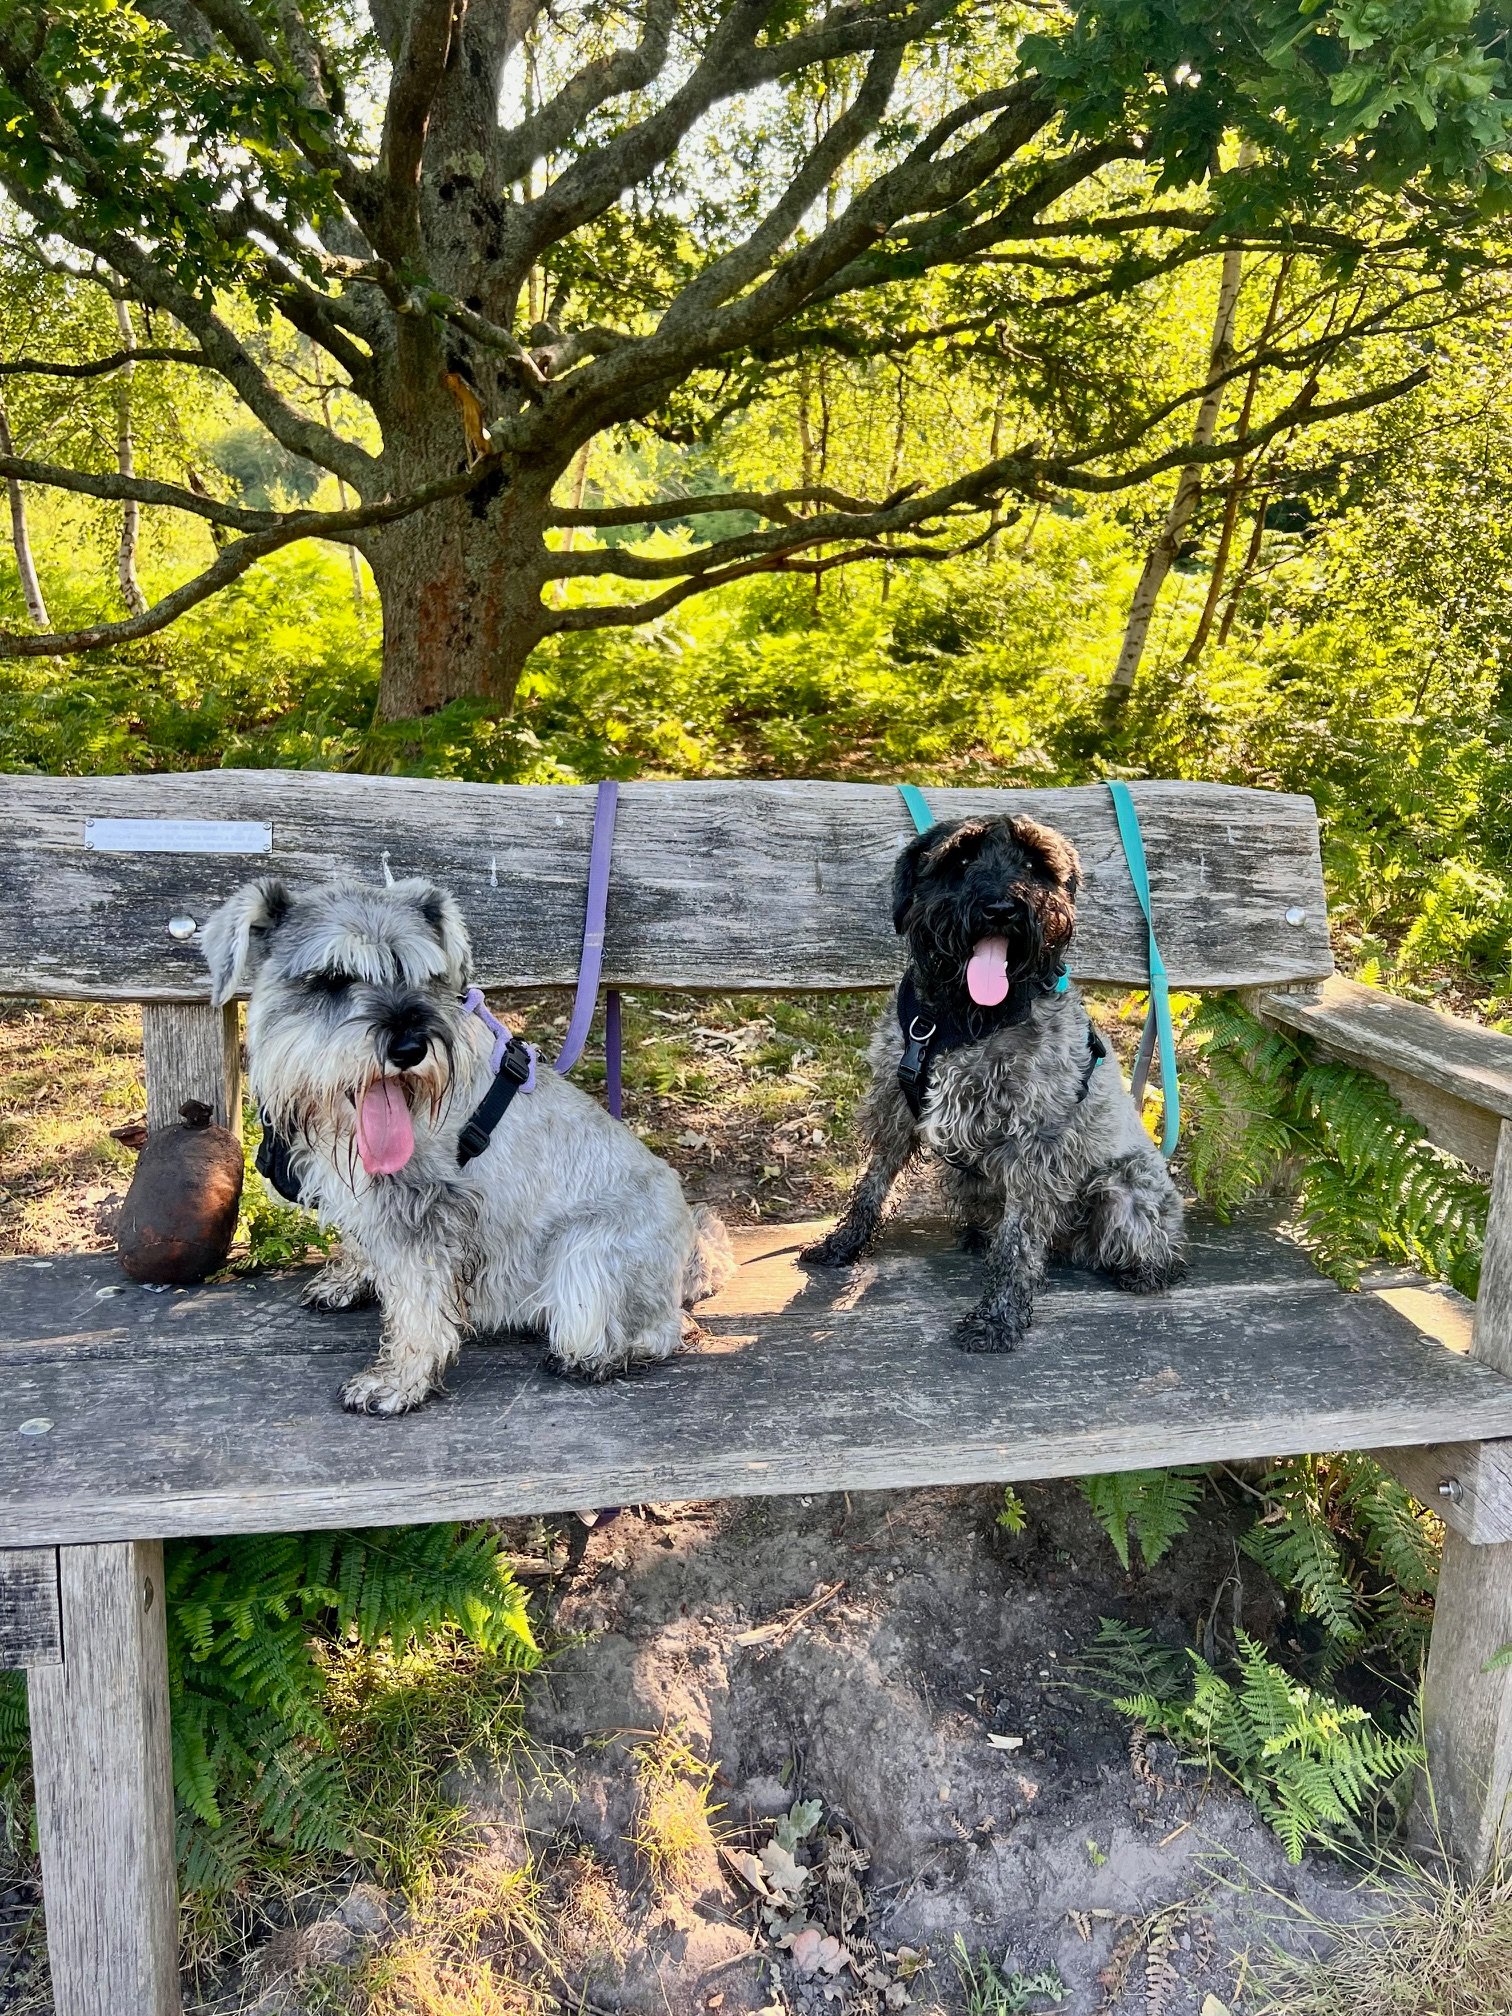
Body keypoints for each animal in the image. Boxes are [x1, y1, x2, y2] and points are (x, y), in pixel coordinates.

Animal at [204, 883, 737, 1419]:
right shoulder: (370, 1193)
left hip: (585, 1257)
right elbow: (363, 1243)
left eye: (426, 977)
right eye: (333, 979)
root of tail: (690, 1249)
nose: (411, 1048)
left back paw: (600, 1357)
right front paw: (349, 1280)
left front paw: (399, 1381)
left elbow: (418, 1306)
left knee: (662, 1329)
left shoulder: (424, 1212)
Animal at [810, 814, 1193, 1354]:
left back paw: (1145, 1271)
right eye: (962, 858)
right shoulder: (895, 1109)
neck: (965, 1018)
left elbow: (1019, 1243)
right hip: (967, 1179)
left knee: (1149, 1248)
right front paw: (842, 1245)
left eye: (1034, 864)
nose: (1002, 909)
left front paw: (998, 1318)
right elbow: (871, 1186)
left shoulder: (1036, 1145)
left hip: (1123, 1190)